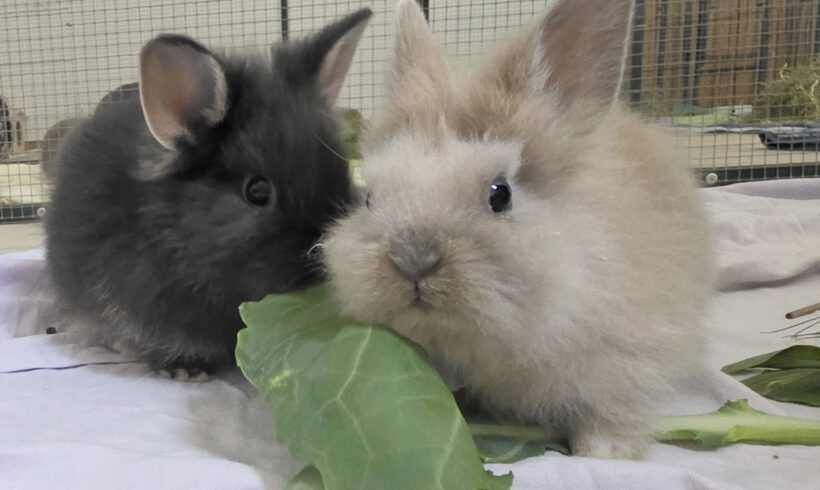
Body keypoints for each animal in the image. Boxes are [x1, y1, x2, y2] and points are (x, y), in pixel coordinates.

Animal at [323, 0, 713, 459]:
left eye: (500, 194)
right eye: (369, 199)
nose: (412, 260)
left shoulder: (629, 356)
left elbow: (616, 412)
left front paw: (603, 453)